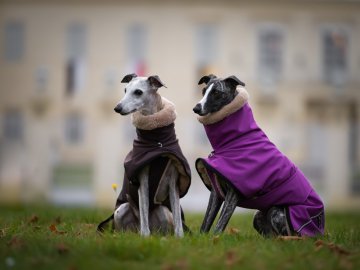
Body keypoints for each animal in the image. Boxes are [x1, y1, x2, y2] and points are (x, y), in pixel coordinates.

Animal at [95, 74, 191, 236]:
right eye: (125, 90)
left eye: (138, 92)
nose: (117, 108)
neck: (157, 142)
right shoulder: (142, 180)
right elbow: (144, 211)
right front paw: (145, 237)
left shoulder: (173, 181)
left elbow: (178, 218)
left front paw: (180, 238)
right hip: (121, 210)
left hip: (163, 210)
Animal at [194, 74, 326, 236]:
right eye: (203, 91)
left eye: (216, 93)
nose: (196, 108)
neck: (236, 141)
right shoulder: (216, 192)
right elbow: (206, 222)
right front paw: (201, 238)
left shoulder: (233, 194)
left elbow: (219, 225)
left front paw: (215, 238)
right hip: (258, 216)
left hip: (278, 212)